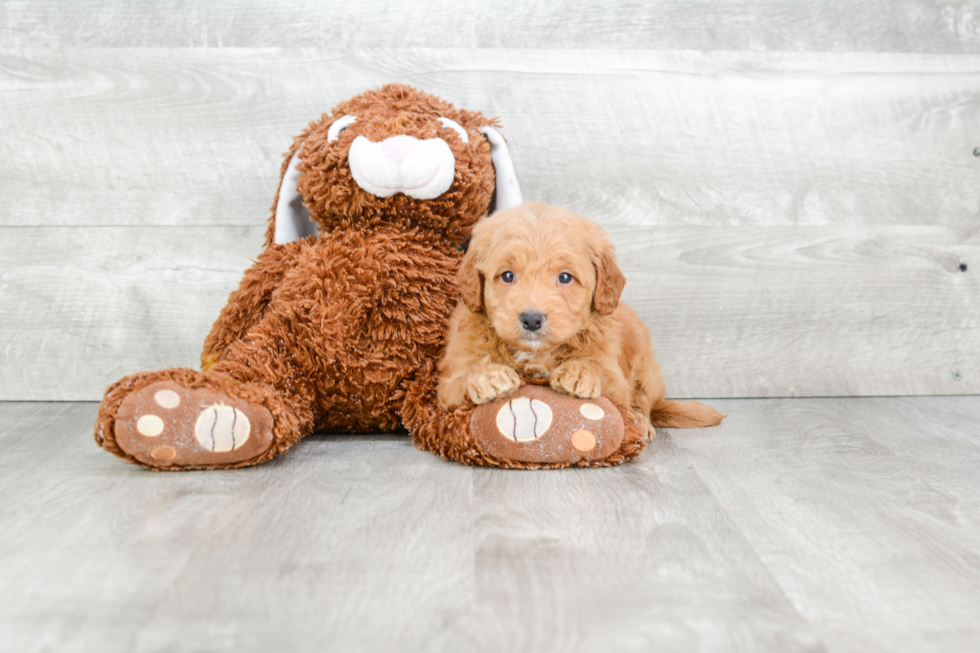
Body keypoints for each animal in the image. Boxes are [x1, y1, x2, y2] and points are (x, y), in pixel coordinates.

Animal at [440, 201, 724, 436]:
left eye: (565, 277)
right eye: (508, 275)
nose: (531, 319)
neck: (536, 355)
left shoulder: (614, 376)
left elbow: (599, 371)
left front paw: (578, 373)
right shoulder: (449, 384)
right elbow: (462, 378)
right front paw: (489, 376)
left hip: (646, 369)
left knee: (642, 404)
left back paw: (642, 423)